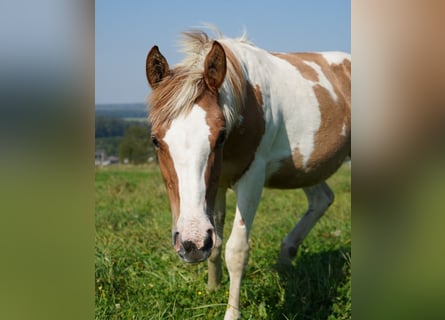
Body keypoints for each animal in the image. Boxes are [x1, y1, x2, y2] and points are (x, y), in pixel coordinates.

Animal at [146, 28, 350, 320]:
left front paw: (232, 312)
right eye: (155, 140)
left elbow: (236, 250)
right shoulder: (218, 182)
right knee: (322, 199)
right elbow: (216, 242)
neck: (246, 101)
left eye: (220, 136)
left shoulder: (252, 178)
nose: (191, 244)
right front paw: (212, 287)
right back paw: (286, 256)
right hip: (305, 169)